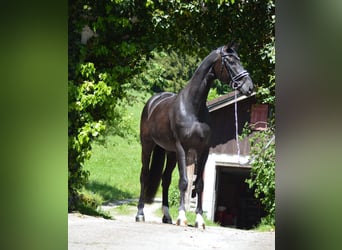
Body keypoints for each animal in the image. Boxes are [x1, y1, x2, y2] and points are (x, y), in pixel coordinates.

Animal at [135, 41, 252, 229]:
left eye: (239, 59)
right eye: (231, 61)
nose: (249, 86)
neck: (192, 107)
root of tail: (153, 101)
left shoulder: (203, 150)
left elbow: (199, 185)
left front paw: (199, 220)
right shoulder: (183, 148)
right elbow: (184, 182)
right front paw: (182, 217)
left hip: (170, 152)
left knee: (166, 179)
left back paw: (167, 216)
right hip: (148, 146)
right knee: (144, 175)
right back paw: (140, 214)